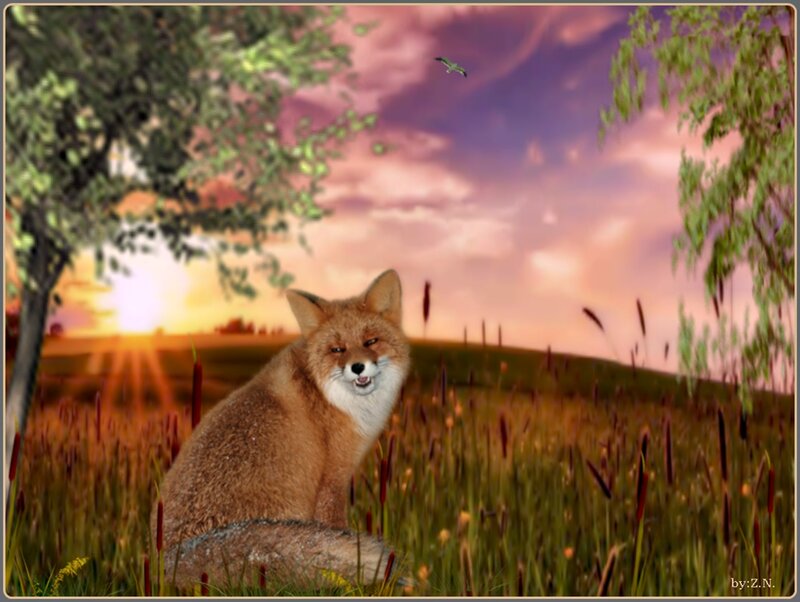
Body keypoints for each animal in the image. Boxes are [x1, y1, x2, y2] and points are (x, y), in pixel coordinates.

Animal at [151, 270, 411, 591]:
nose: (358, 367)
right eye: (337, 349)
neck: (328, 396)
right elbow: (338, 527)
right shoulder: (333, 479)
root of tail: (170, 559)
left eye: (371, 341)